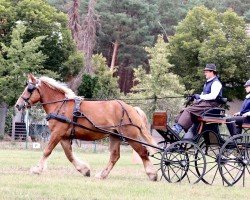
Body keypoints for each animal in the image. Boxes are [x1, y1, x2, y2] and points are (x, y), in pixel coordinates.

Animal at [14, 74, 157, 181]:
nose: (18, 105)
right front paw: (84, 170)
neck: (60, 105)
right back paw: (102, 175)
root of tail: (132, 108)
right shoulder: (64, 137)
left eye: (29, 89)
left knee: (143, 152)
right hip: (115, 136)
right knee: (114, 156)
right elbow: (69, 155)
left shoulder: (57, 133)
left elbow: (47, 151)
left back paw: (152, 174)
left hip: (130, 136)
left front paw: (37, 169)